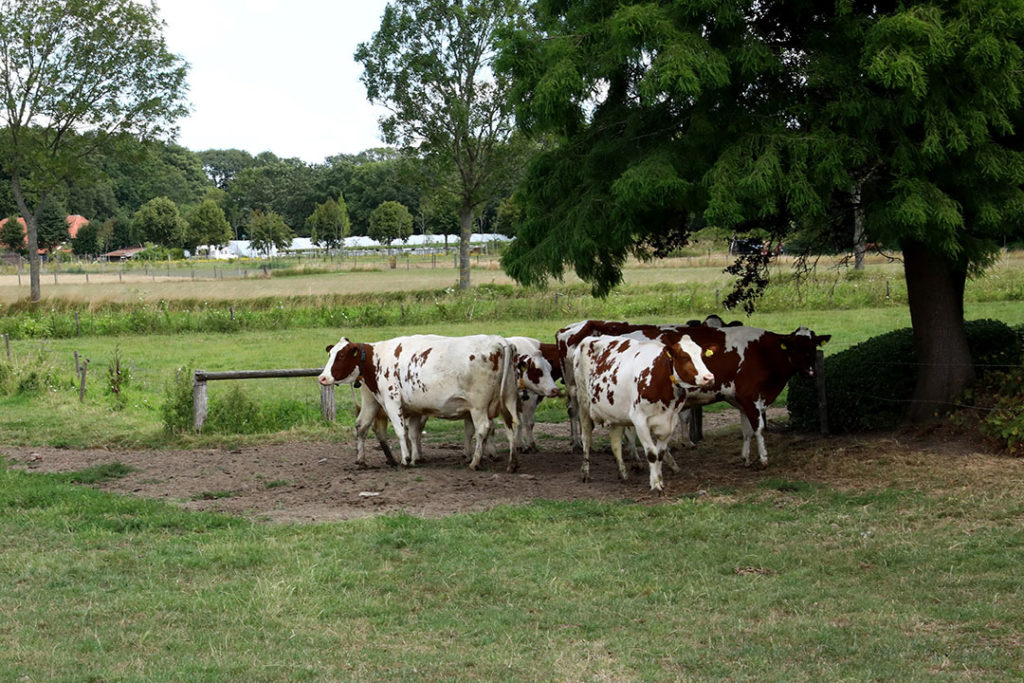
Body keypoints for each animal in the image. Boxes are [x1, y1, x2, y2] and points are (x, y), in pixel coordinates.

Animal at [577, 331, 712, 489]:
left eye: (701, 354)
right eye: (684, 356)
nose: (709, 377)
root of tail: (591, 338)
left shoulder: (671, 420)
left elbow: (660, 453)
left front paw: (659, 479)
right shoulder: (640, 420)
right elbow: (652, 454)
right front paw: (656, 485)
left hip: (615, 413)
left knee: (615, 442)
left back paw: (623, 474)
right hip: (583, 404)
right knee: (586, 438)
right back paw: (585, 473)